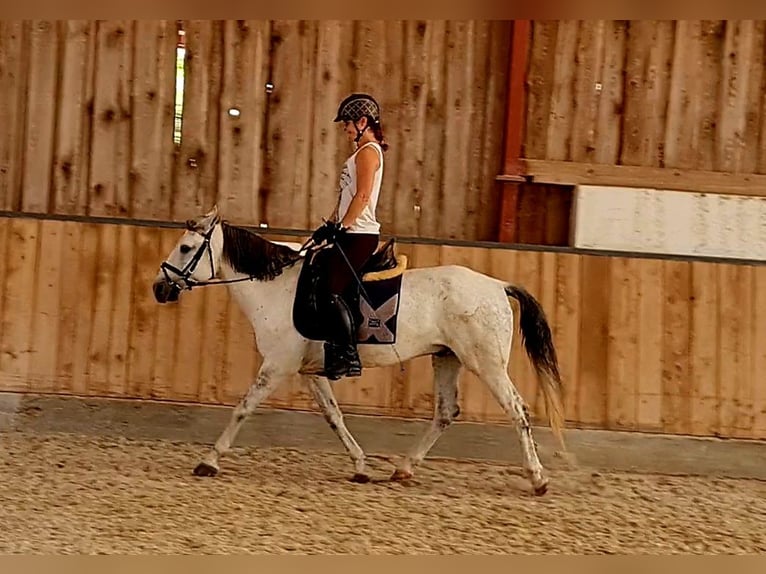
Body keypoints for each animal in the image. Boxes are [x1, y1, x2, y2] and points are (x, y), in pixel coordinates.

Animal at [153, 208, 568, 500]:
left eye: (186, 248)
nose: (159, 287)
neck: (279, 289)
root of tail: (498, 285)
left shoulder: (277, 366)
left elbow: (243, 408)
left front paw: (208, 460)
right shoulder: (310, 372)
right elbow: (334, 416)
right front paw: (361, 466)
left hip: (486, 364)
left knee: (517, 410)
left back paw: (538, 479)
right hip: (446, 357)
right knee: (446, 412)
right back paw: (404, 469)